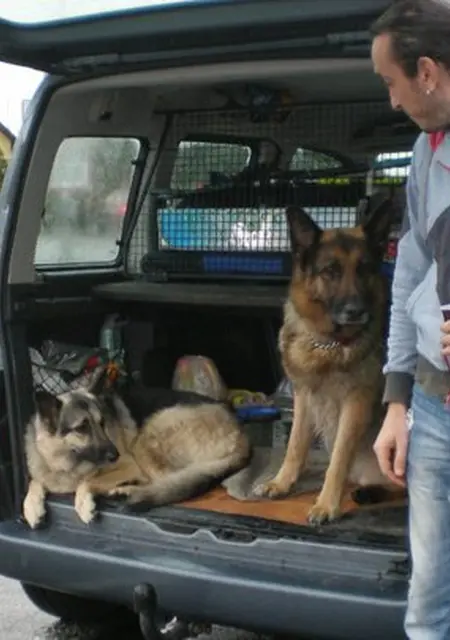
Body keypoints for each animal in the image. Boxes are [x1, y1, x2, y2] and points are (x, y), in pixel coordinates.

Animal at [22, 368, 251, 528]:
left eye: (102, 422)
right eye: (81, 428)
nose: (115, 454)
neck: (66, 461)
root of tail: (239, 429)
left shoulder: (128, 465)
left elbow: (86, 481)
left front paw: (84, 504)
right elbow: (34, 482)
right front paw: (31, 508)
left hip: (148, 436)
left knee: (166, 480)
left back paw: (127, 491)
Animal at [253, 198, 401, 524]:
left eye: (364, 269)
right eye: (330, 271)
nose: (356, 311)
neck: (329, 343)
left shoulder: (355, 404)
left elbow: (338, 460)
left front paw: (326, 504)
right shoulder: (304, 396)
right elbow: (295, 445)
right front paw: (282, 482)